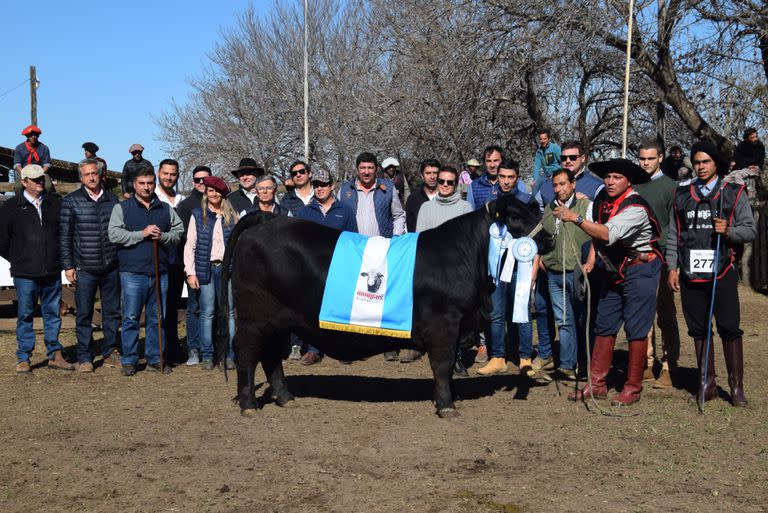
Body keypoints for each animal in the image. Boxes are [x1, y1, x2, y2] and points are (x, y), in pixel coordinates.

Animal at [216, 195, 552, 416]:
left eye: (531, 210)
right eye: (515, 216)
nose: (548, 239)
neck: (462, 256)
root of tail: (269, 218)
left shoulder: (457, 326)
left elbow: (448, 367)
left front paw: (450, 398)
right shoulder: (443, 324)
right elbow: (443, 365)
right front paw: (446, 405)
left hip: (279, 320)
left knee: (272, 355)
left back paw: (285, 397)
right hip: (254, 317)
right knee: (247, 353)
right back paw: (249, 405)